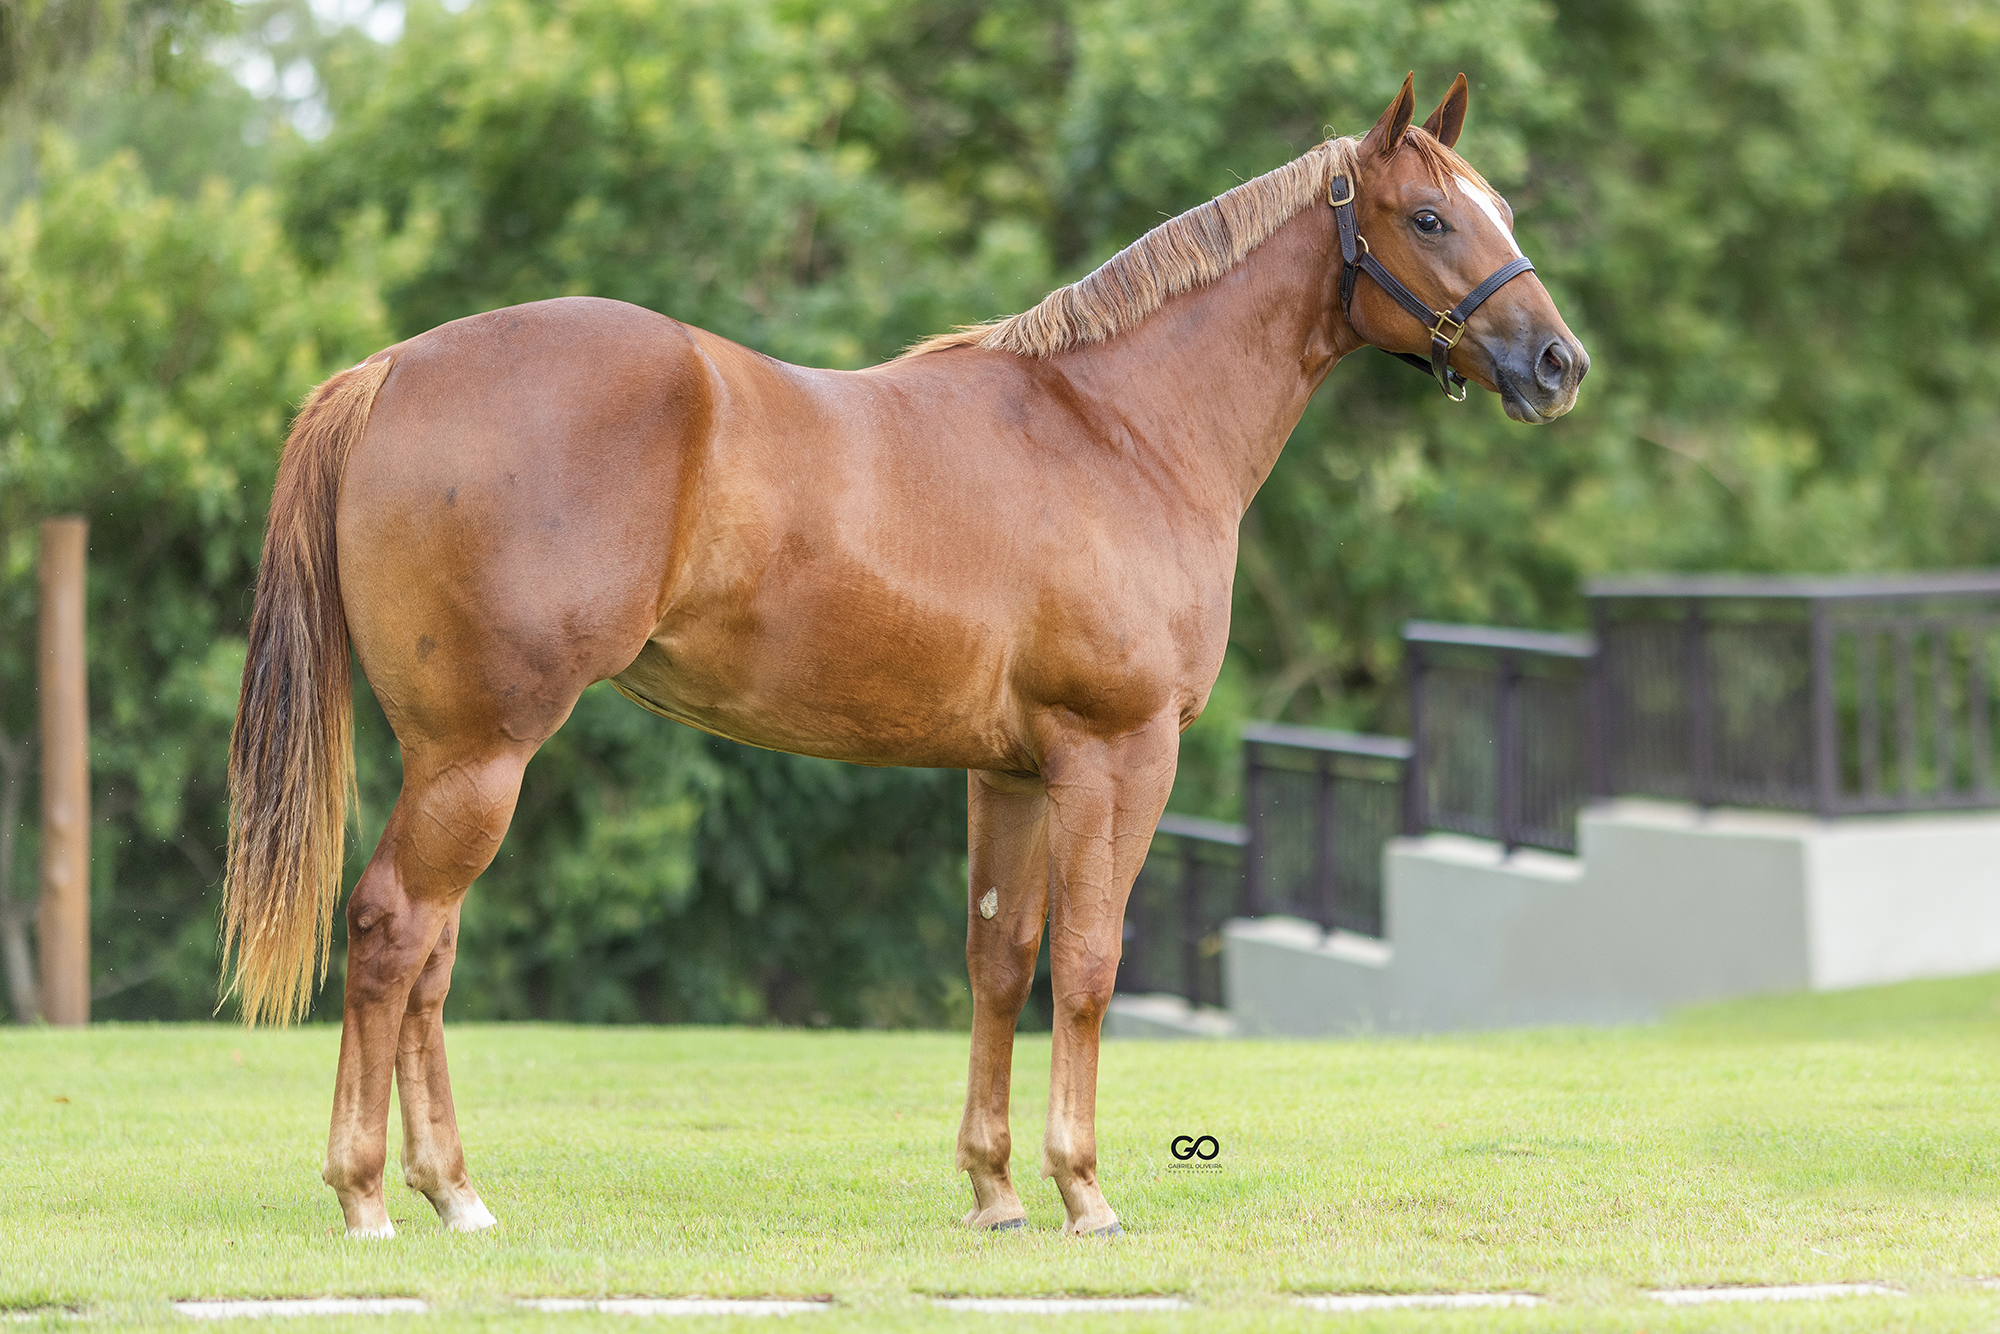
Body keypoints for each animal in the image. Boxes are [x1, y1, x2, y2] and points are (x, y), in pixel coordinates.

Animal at [220, 72, 1587, 1239]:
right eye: (1428, 216)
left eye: (1501, 211)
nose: (1556, 363)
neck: (1120, 428)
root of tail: (392, 368)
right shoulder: (1117, 751)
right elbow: (1086, 962)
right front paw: (1083, 1188)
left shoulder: (1012, 771)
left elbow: (998, 957)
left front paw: (994, 1189)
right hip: (482, 752)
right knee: (392, 930)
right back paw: (366, 1195)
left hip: (457, 755)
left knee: (430, 958)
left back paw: (453, 1192)